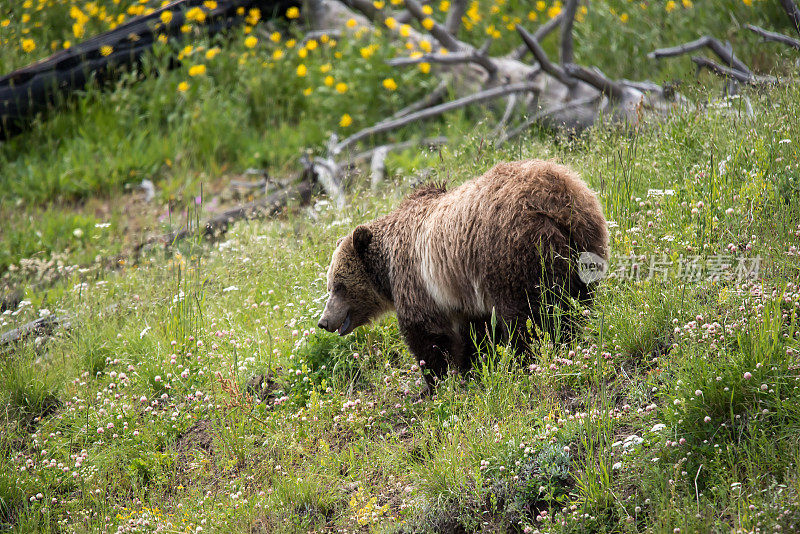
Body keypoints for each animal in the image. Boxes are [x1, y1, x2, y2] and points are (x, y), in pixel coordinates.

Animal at [318, 161, 608, 392]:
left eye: (339, 286)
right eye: (330, 286)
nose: (323, 321)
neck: (387, 268)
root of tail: (557, 199)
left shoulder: (417, 281)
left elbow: (428, 337)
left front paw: (435, 383)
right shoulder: (463, 293)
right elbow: (476, 334)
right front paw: (475, 367)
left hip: (511, 253)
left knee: (526, 317)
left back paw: (526, 359)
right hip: (585, 244)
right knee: (577, 300)